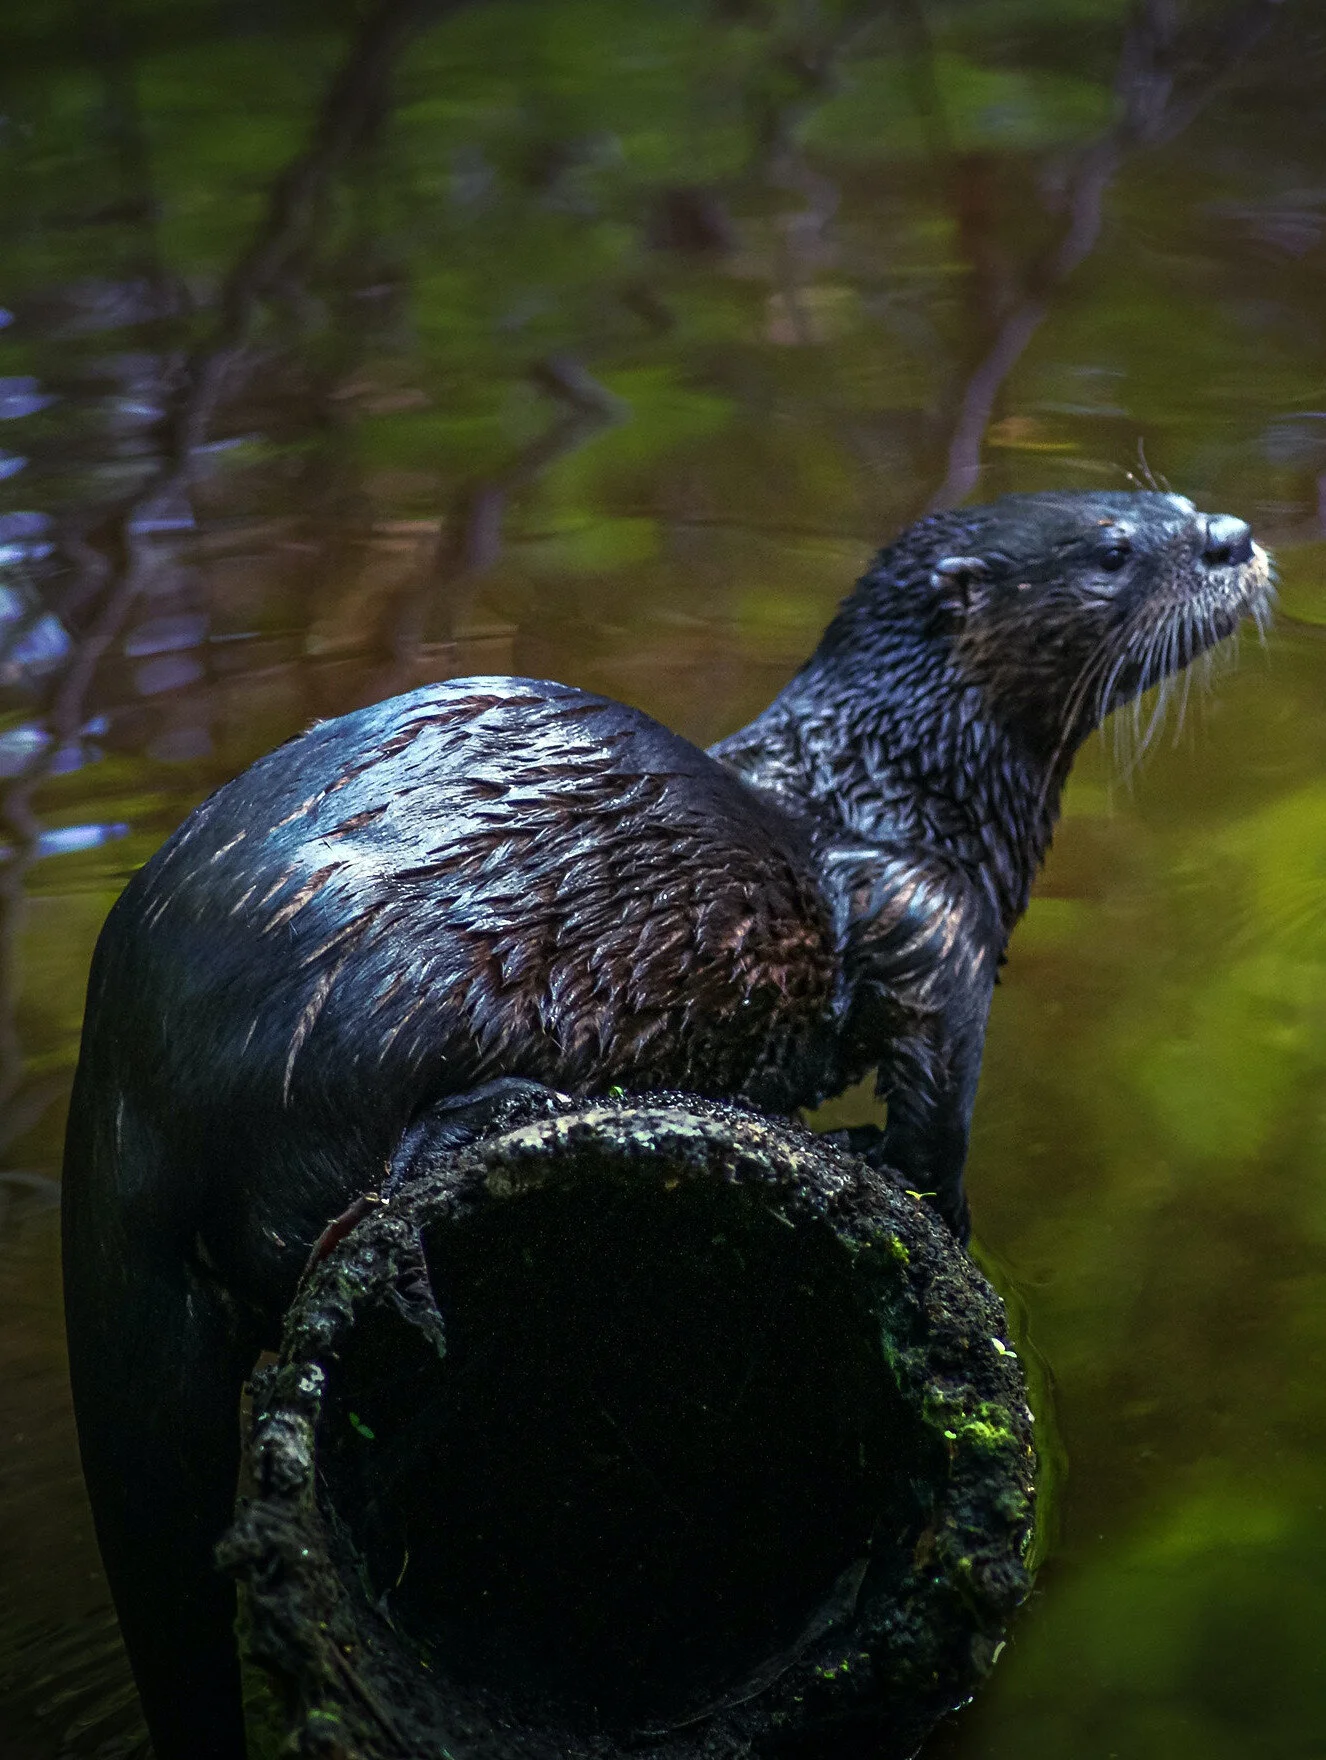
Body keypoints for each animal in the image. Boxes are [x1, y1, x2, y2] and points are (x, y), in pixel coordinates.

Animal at [61, 491, 1270, 1760]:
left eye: (1172, 501)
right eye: (1116, 551)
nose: (1233, 535)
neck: (907, 796)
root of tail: (124, 1042)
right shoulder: (927, 927)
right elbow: (937, 1113)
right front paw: (927, 1195)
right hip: (354, 1008)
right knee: (291, 1222)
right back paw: (497, 1110)